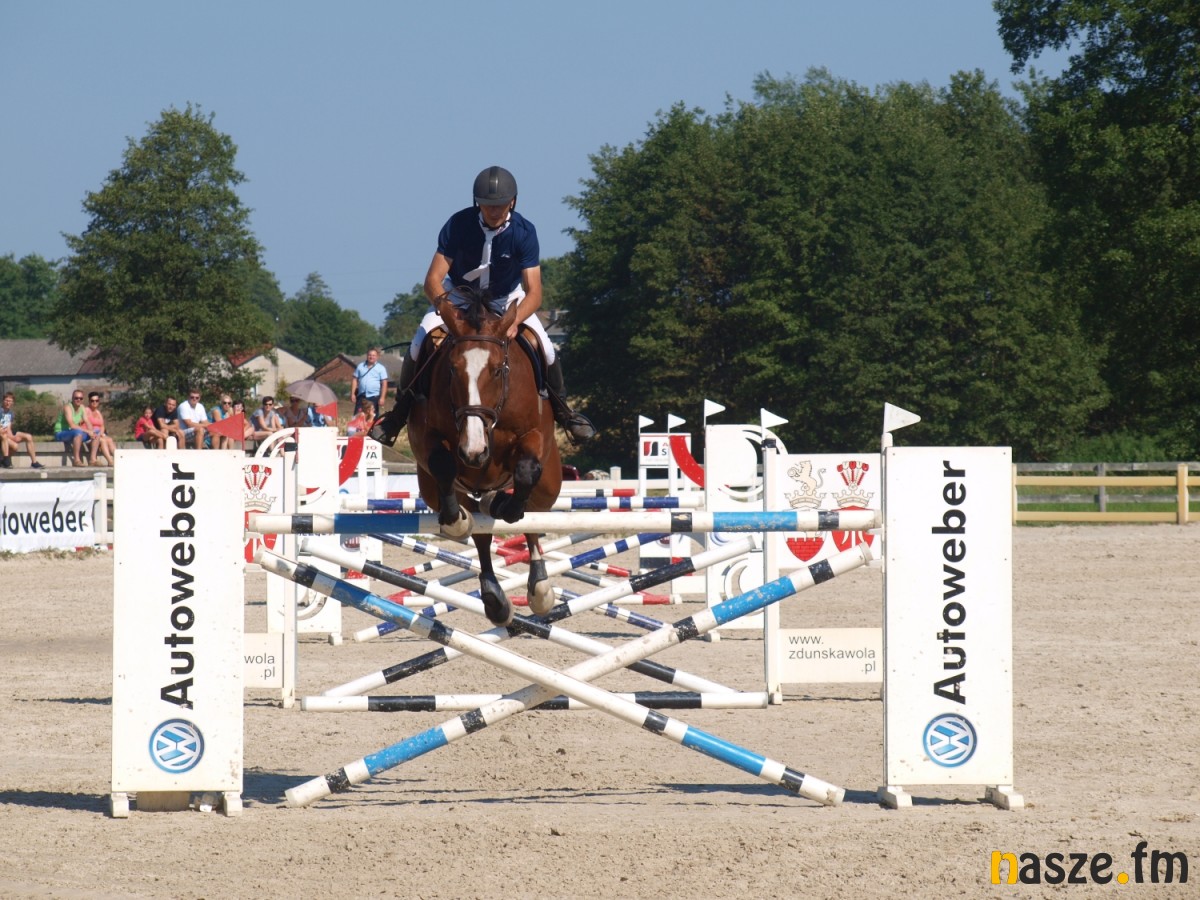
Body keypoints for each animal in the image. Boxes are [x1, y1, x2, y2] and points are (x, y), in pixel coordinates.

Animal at [405, 289, 563, 626]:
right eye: (452, 369)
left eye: (498, 370)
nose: (474, 451)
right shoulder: (425, 439)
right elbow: (444, 467)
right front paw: (458, 519)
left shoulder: (534, 436)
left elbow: (525, 476)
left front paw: (504, 505)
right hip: (433, 488)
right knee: (480, 533)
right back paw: (494, 599)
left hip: (549, 487)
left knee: (532, 519)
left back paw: (540, 589)